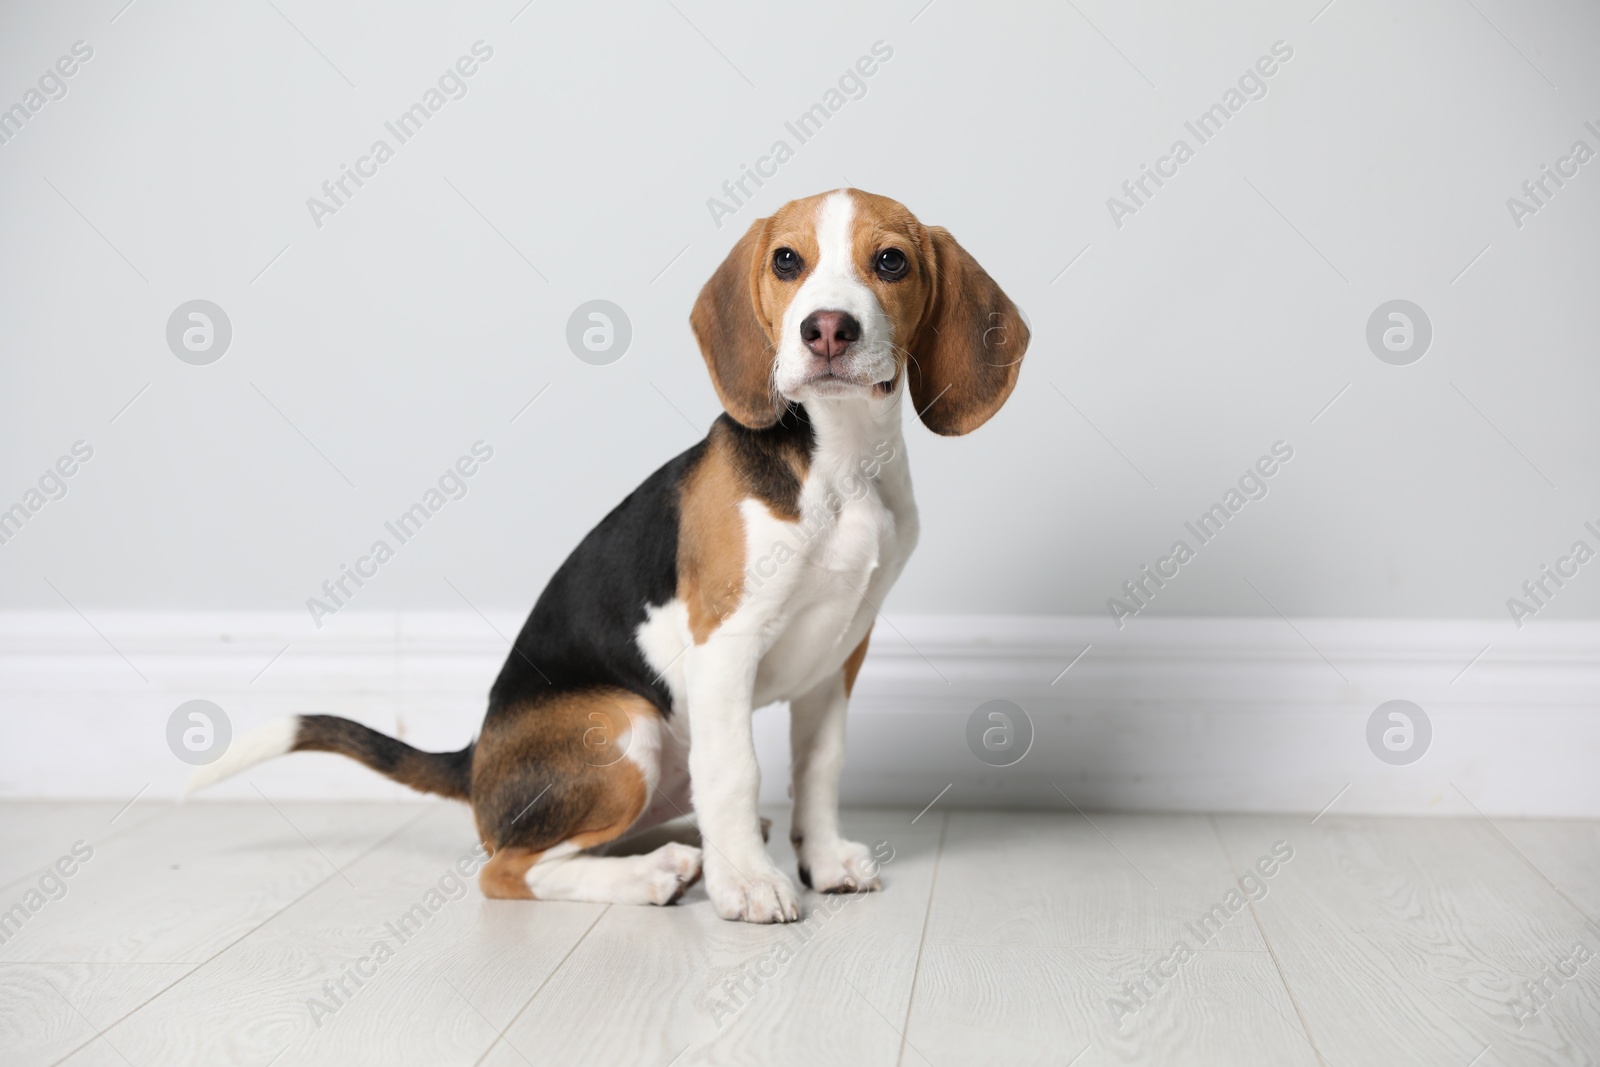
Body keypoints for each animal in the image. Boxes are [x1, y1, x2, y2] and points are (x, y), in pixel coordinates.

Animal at [190, 187, 1024, 921]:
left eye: (890, 261)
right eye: (787, 260)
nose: (827, 330)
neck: (841, 462)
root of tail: (476, 756)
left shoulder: (840, 651)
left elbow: (819, 767)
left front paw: (817, 858)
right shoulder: (726, 642)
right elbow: (737, 770)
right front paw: (752, 886)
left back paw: (692, 850)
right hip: (626, 725)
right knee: (510, 867)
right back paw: (658, 873)